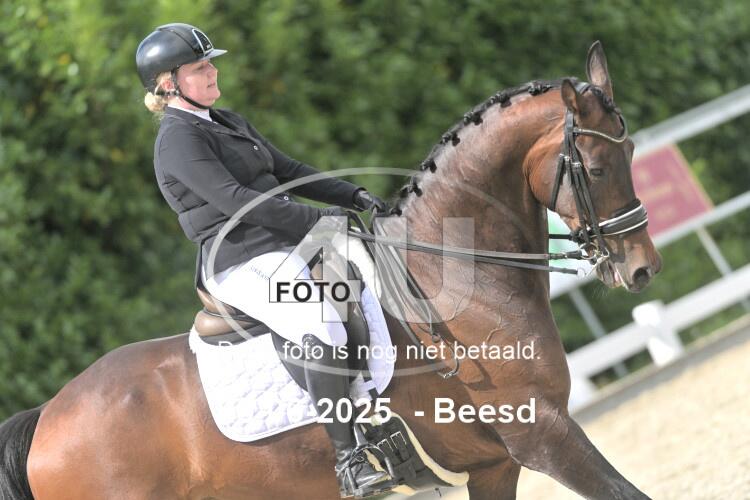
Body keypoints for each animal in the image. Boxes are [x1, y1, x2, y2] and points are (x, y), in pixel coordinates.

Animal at [1, 41, 661, 499]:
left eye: (629, 151)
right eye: (595, 168)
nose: (642, 270)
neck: (454, 282)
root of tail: (47, 417)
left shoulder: (496, 465)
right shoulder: (542, 434)